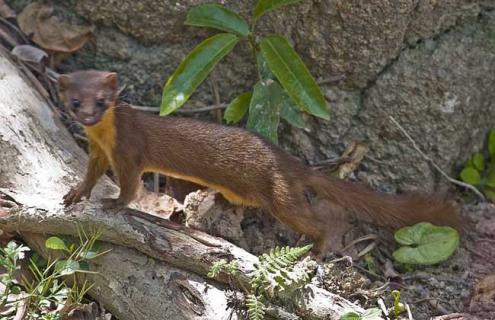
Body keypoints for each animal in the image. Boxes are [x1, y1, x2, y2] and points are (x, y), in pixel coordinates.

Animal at [60, 70, 464, 255]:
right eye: (75, 102)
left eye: (102, 100)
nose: (88, 117)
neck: (105, 137)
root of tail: (292, 164)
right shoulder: (98, 150)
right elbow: (91, 173)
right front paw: (75, 194)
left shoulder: (129, 150)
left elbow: (130, 185)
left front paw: (113, 203)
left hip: (281, 195)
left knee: (312, 221)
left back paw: (317, 249)